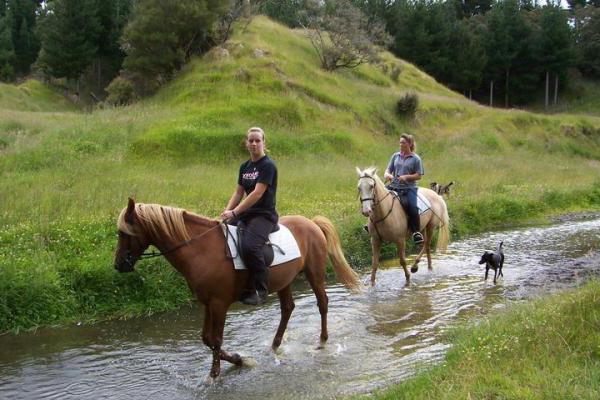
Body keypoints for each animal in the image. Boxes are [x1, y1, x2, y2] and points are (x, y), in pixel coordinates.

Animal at [113, 198, 360, 380]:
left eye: (124, 233)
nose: (118, 265)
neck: (200, 248)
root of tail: (311, 222)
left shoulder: (219, 303)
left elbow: (216, 339)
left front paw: (215, 375)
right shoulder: (207, 303)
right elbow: (206, 338)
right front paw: (239, 359)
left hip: (314, 273)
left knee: (322, 303)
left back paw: (322, 341)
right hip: (285, 280)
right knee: (288, 308)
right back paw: (274, 346)